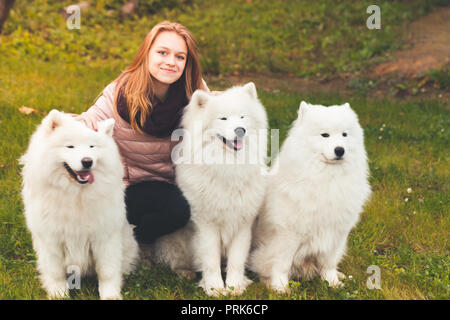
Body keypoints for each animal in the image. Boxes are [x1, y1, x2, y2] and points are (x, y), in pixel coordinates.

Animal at [19, 110, 139, 300]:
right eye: (70, 147)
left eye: (92, 147)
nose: (87, 161)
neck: (76, 195)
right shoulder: (51, 240)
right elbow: (56, 273)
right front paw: (58, 295)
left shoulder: (105, 238)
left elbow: (107, 272)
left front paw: (110, 295)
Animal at [153, 83, 268, 298]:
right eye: (223, 118)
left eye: (242, 116)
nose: (240, 130)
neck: (228, 167)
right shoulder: (206, 225)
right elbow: (211, 260)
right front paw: (215, 288)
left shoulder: (243, 223)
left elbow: (236, 260)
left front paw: (234, 286)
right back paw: (185, 273)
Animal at [248, 101, 370, 292]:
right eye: (325, 135)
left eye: (344, 134)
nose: (340, 150)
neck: (328, 178)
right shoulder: (288, 235)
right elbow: (281, 264)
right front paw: (280, 287)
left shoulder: (337, 234)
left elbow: (329, 263)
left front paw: (333, 282)